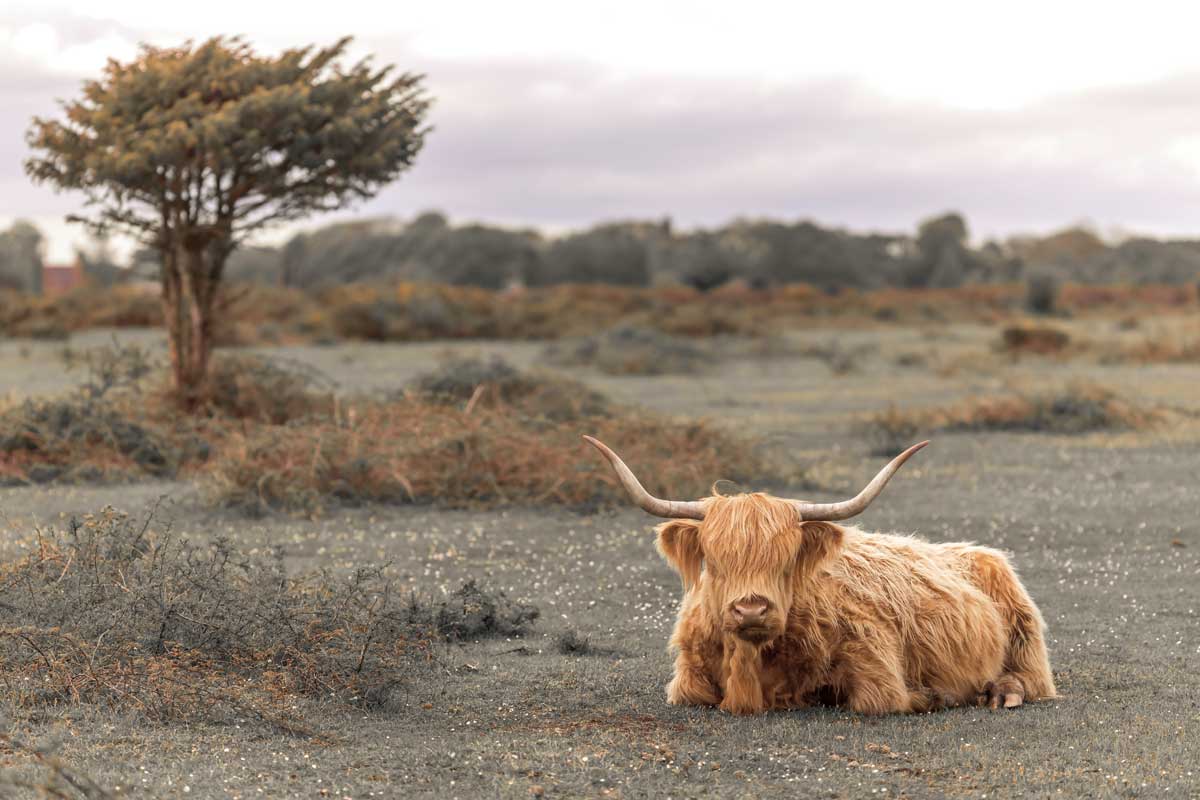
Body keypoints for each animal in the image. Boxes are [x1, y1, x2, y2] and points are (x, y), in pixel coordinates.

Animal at [583, 436, 1056, 716]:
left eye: (786, 560)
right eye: (714, 561)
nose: (751, 609)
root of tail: (971, 549)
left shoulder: (876, 665)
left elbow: (876, 701)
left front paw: (933, 695)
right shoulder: (686, 679)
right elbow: (692, 693)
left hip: (1023, 629)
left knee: (1032, 678)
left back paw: (1000, 693)